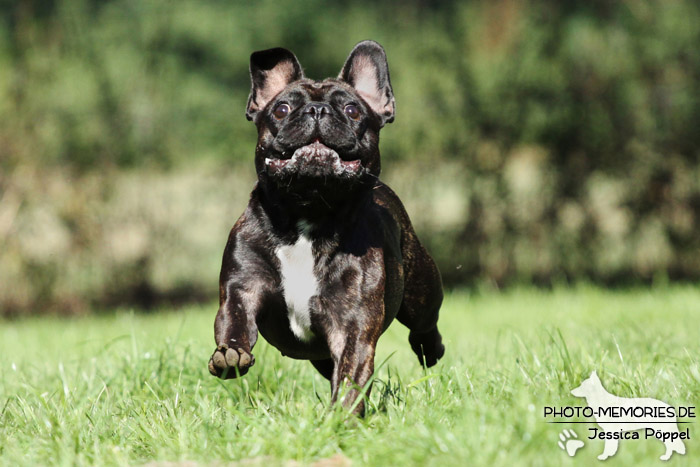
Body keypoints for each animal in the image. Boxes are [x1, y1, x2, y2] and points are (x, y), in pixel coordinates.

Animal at [208, 39, 442, 414]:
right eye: (281, 109)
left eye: (352, 110)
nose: (317, 110)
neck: (309, 214)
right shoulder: (242, 286)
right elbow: (235, 319)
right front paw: (230, 354)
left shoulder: (352, 324)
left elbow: (350, 376)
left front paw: (340, 419)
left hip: (422, 289)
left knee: (425, 322)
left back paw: (430, 350)